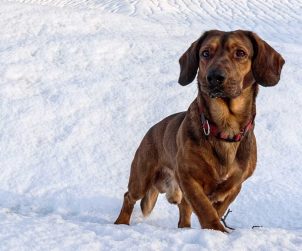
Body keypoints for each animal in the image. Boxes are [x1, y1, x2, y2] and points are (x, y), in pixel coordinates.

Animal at [114, 30, 284, 232]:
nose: (214, 77)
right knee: (129, 197)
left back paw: (184, 228)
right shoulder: (188, 177)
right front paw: (217, 230)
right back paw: (121, 223)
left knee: (183, 209)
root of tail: (152, 129)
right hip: (141, 177)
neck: (225, 128)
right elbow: (204, 208)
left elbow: (217, 208)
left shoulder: (235, 185)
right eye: (205, 53)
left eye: (240, 53)